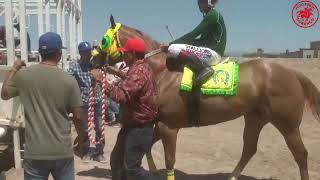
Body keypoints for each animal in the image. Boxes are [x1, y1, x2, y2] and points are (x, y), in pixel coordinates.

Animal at [90, 17, 320, 180]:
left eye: (103, 39)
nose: (92, 61)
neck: (161, 72)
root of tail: (292, 72)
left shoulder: (169, 127)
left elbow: (170, 160)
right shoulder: (160, 123)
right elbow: (146, 147)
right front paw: (152, 170)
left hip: (288, 124)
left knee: (301, 154)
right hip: (255, 118)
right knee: (249, 149)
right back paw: (232, 176)